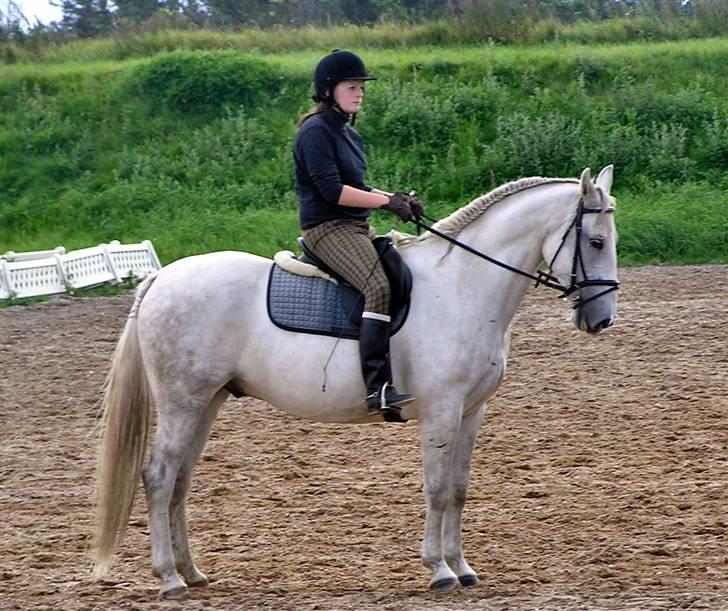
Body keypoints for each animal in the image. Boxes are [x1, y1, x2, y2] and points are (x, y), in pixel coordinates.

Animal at [94, 166, 620, 596]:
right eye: (595, 242)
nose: (601, 320)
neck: (462, 286)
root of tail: (160, 280)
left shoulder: (472, 410)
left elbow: (459, 489)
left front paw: (462, 566)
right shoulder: (441, 410)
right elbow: (436, 488)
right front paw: (440, 571)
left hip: (208, 401)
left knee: (180, 481)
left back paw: (192, 572)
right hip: (182, 401)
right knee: (159, 476)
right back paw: (169, 579)